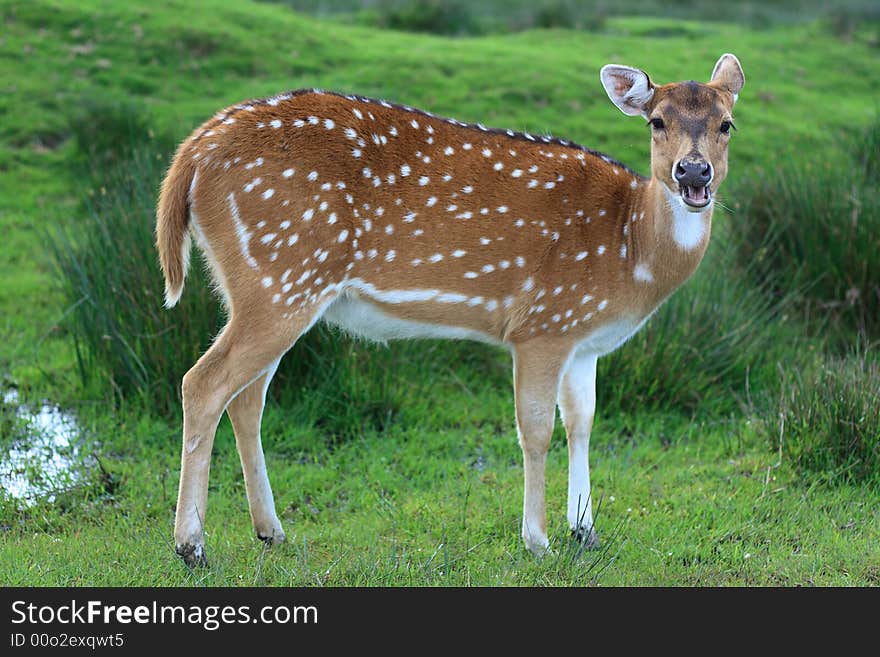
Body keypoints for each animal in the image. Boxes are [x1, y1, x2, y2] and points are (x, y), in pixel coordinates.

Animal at [156, 52, 744, 564]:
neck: (629, 248)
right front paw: (538, 541)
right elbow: (535, 430)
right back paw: (191, 546)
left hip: (270, 288)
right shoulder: (542, 323)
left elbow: (582, 423)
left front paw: (585, 531)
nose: (694, 174)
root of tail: (192, 152)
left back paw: (270, 531)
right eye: (657, 121)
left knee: (246, 399)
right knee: (202, 383)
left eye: (727, 124)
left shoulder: (584, 340)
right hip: (280, 276)